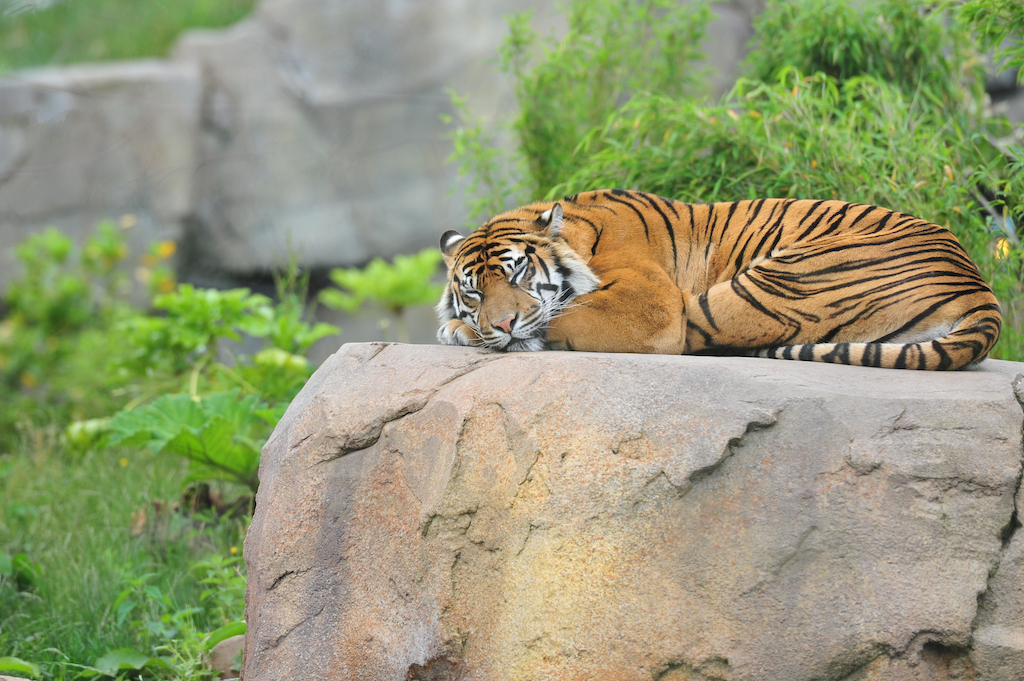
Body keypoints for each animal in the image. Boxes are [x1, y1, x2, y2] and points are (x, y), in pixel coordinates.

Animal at [436, 189, 1001, 370]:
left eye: (519, 271)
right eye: (473, 290)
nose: (503, 324)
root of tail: (977, 281)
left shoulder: (652, 306)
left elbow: (558, 317)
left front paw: (459, 331)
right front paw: (467, 327)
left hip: (761, 287)